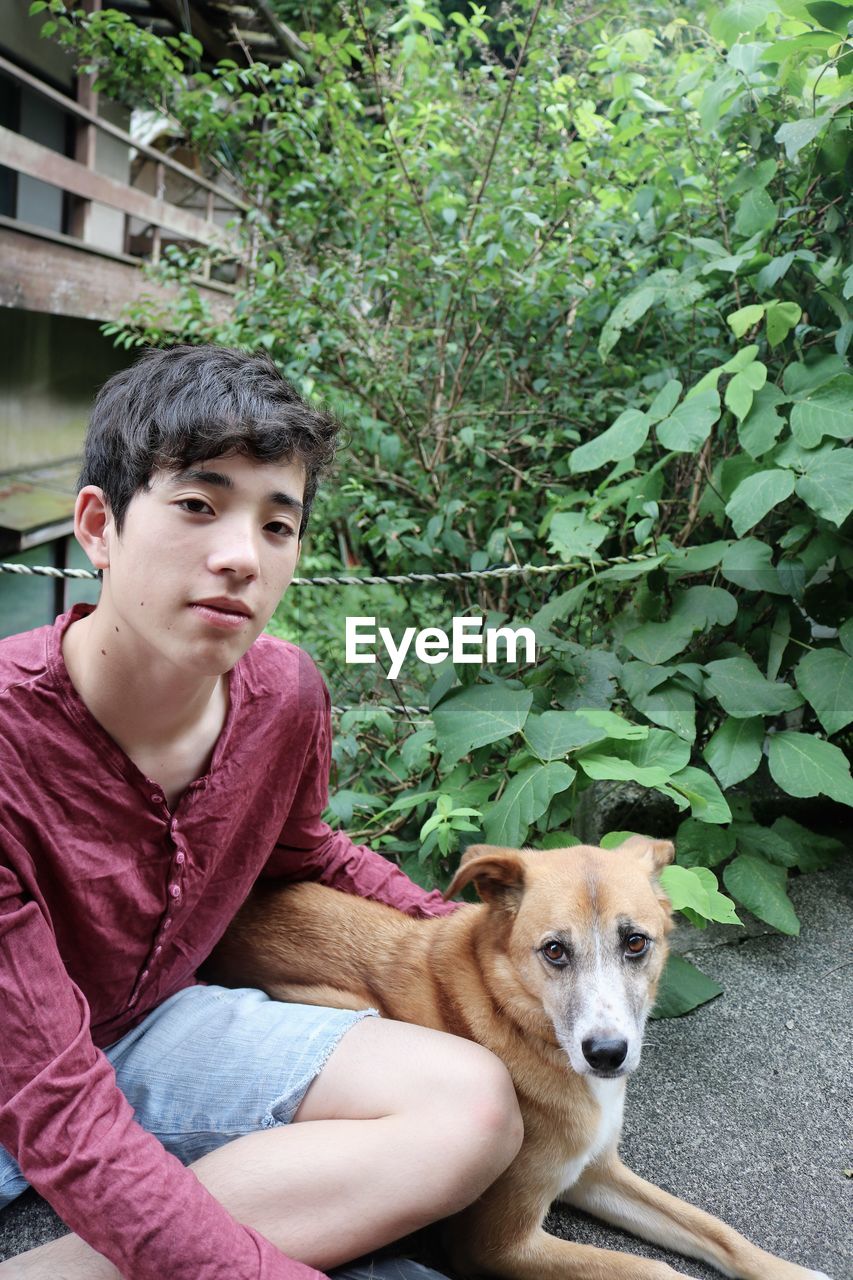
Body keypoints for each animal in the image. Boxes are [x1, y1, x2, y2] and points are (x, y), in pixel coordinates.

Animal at [207, 839, 829, 1280]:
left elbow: (717, 1230)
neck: (514, 1018)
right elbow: (653, 1269)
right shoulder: (500, 1244)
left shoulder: (595, 1172)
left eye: (635, 942)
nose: (607, 1055)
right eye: (554, 950)